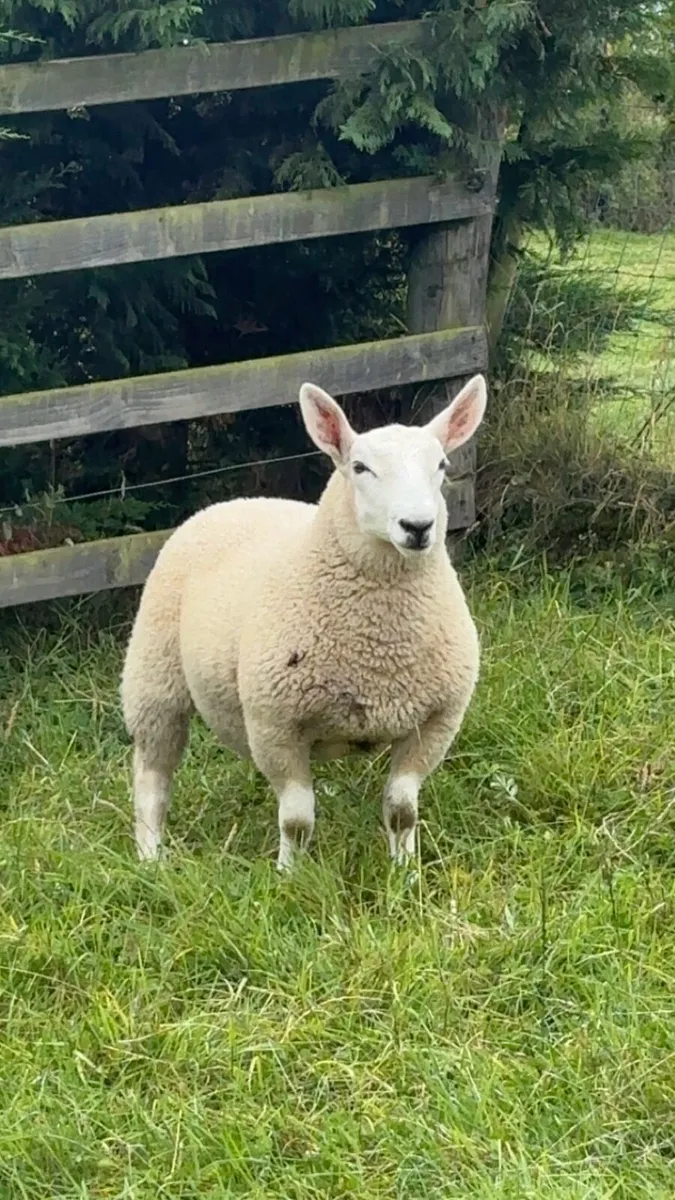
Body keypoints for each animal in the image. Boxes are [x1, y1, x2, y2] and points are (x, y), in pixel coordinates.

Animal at [121, 374, 487, 870]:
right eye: (359, 468)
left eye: (442, 465)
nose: (417, 527)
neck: (379, 646)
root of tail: (236, 500)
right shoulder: (276, 723)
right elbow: (296, 820)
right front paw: (288, 875)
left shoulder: (435, 723)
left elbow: (402, 811)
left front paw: (405, 873)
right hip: (154, 679)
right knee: (152, 780)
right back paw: (150, 857)